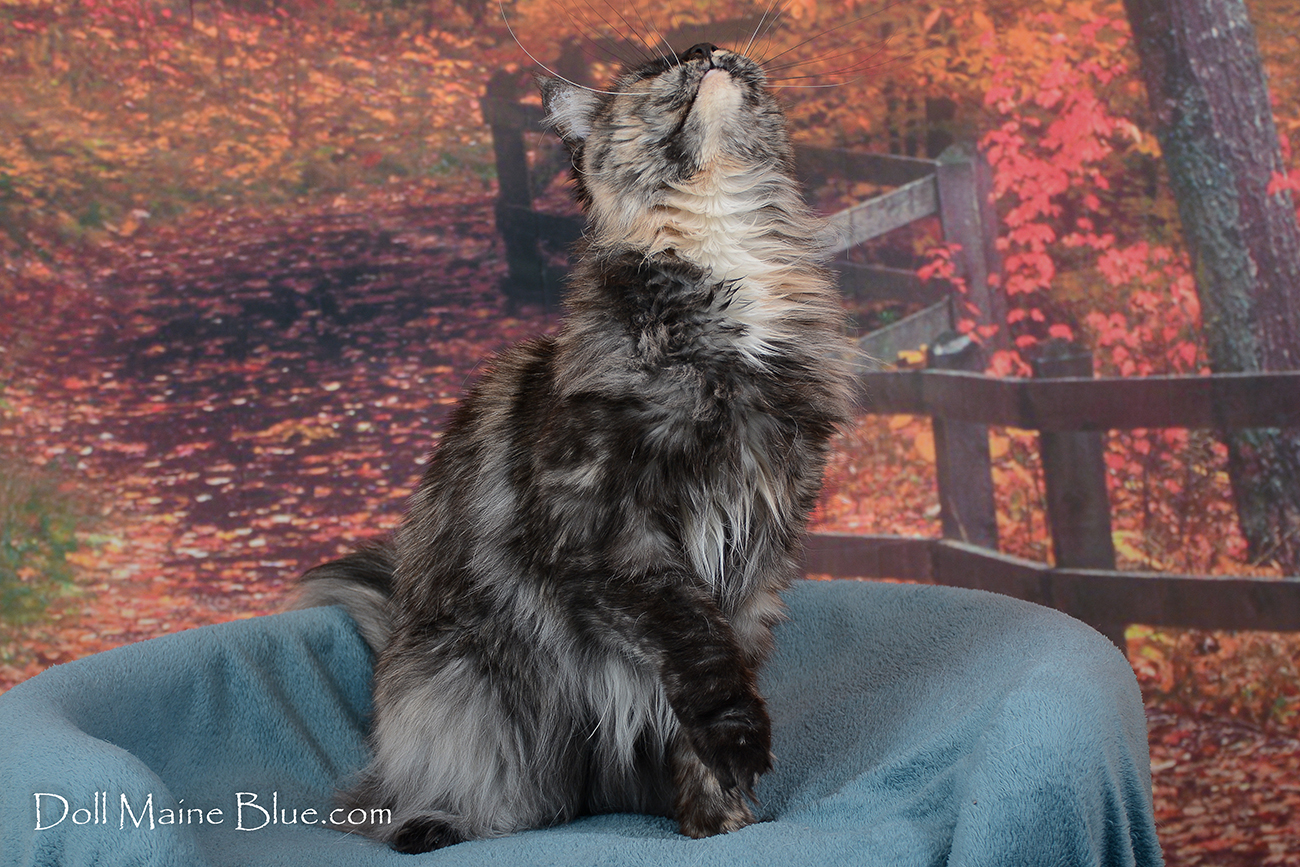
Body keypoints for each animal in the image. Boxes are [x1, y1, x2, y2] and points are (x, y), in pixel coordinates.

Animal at [291, 39, 852, 854]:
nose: (707, 51)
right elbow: (701, 653)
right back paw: (437, 823)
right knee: (431, 799)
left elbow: (716, 681)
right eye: (657, 69)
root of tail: (396, 638)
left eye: (710, 48)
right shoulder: (612, 535)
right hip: (462, 692)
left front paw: (721, 821)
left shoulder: (761, 549)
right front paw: (740, 747)